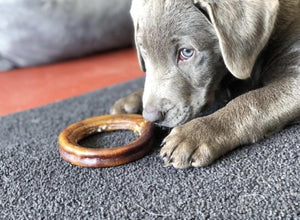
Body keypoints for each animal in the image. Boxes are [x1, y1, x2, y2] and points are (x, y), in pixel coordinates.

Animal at [110, 0, 300, 168]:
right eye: (143, 50)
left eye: (186, 52)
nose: (151, 116)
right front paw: (130, 102)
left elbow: (252, 101)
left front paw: (194, 134)